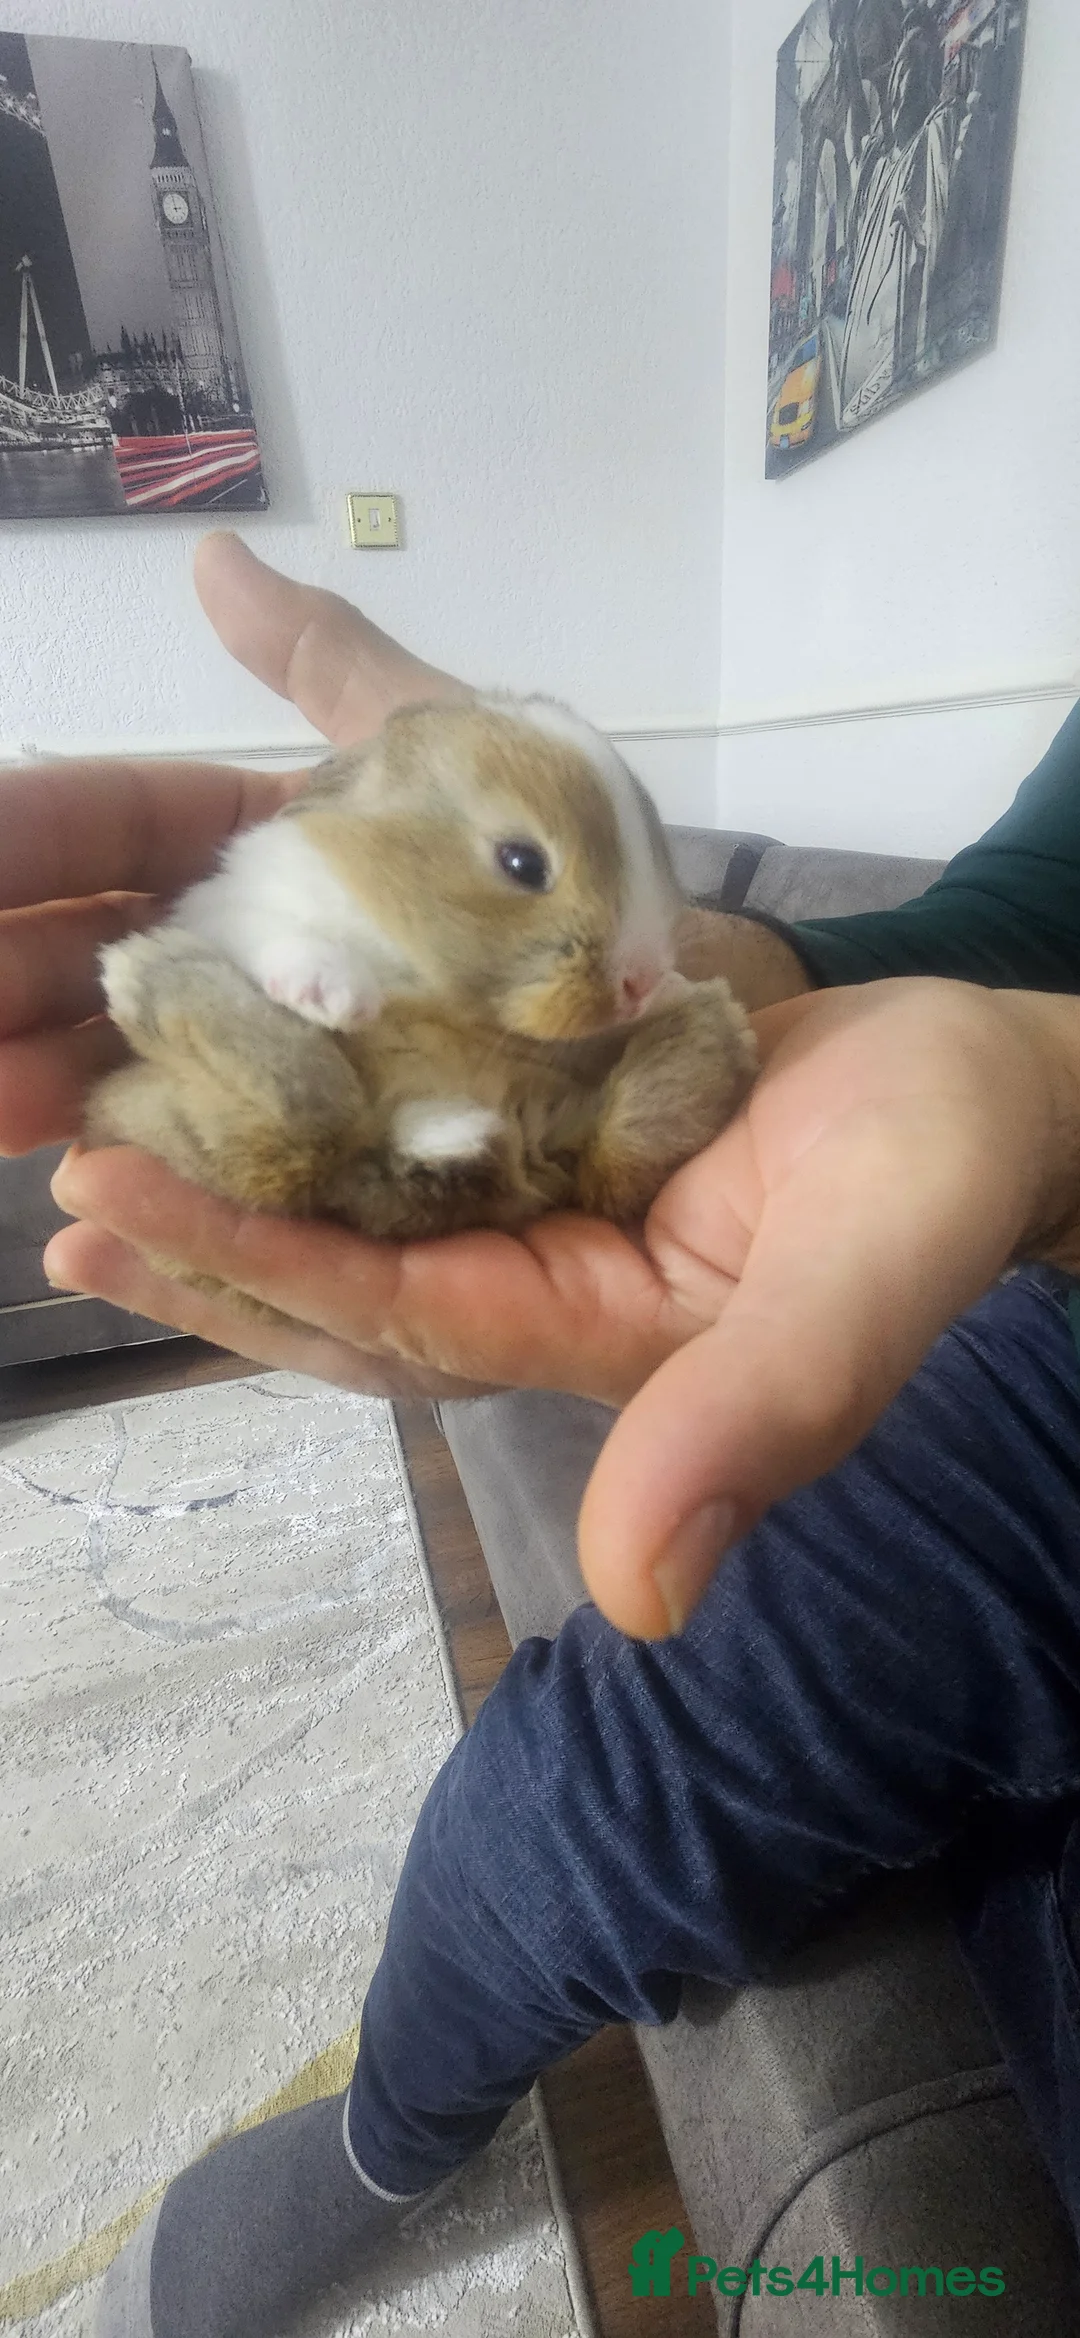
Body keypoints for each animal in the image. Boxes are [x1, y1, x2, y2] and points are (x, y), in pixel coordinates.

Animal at [86, 695, 757, 1310]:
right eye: (522, 862)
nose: (640, 980)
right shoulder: (239, 908)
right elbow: (282, 938)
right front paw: (336, 998)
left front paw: (670, 988)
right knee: (294, 1128)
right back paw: (141, 966)